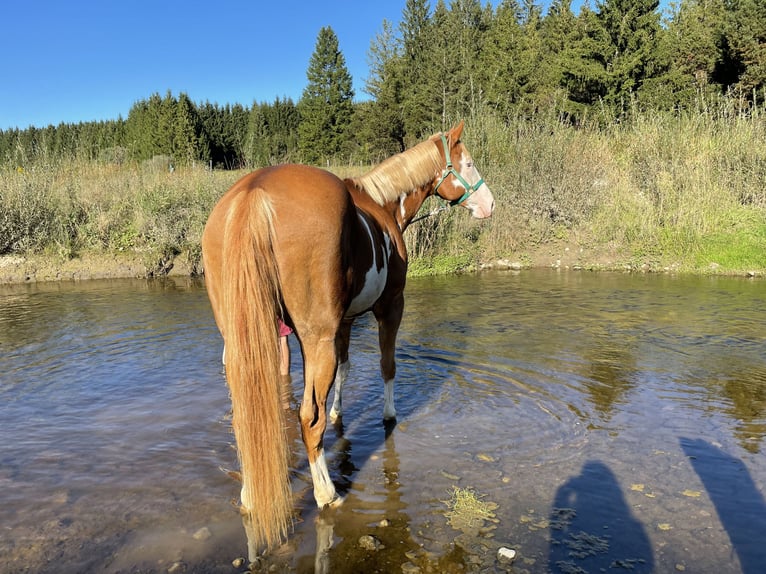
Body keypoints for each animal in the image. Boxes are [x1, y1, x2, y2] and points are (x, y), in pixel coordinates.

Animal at [201, 120, 496, 560]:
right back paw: (325, 493)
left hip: (247, 343)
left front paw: (340, 409)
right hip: (315, 336)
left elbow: (343, 368)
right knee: (309, 419)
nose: (489, 204)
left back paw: (251, 494)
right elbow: (386, 366)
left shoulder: (343, 322)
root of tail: (254, 192)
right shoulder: (389, 307)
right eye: (469, 162)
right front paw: (388, 414)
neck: (383, 207)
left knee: (248, 418)